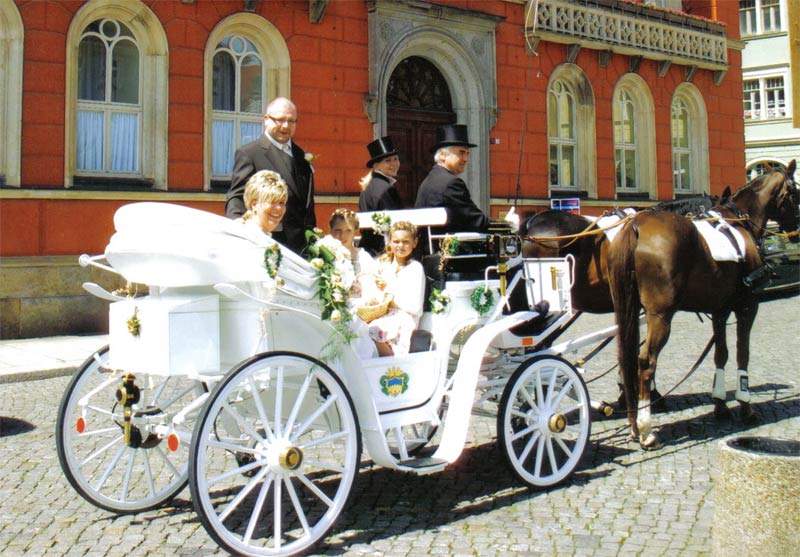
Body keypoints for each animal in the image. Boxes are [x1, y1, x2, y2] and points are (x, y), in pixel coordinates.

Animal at [608, 159, 796, 446]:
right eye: (796, 192)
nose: (797, 230)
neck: (740, 222)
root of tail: (637, 224)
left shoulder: (720, 310)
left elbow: (721, 354)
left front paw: (720, 404)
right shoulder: (747, 306)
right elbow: (743, 353)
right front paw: (746, 406)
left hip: (628, 309)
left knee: (626, 358)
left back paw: (634, 423)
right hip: (661, 316)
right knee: (646, 361)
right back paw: (645, 427)